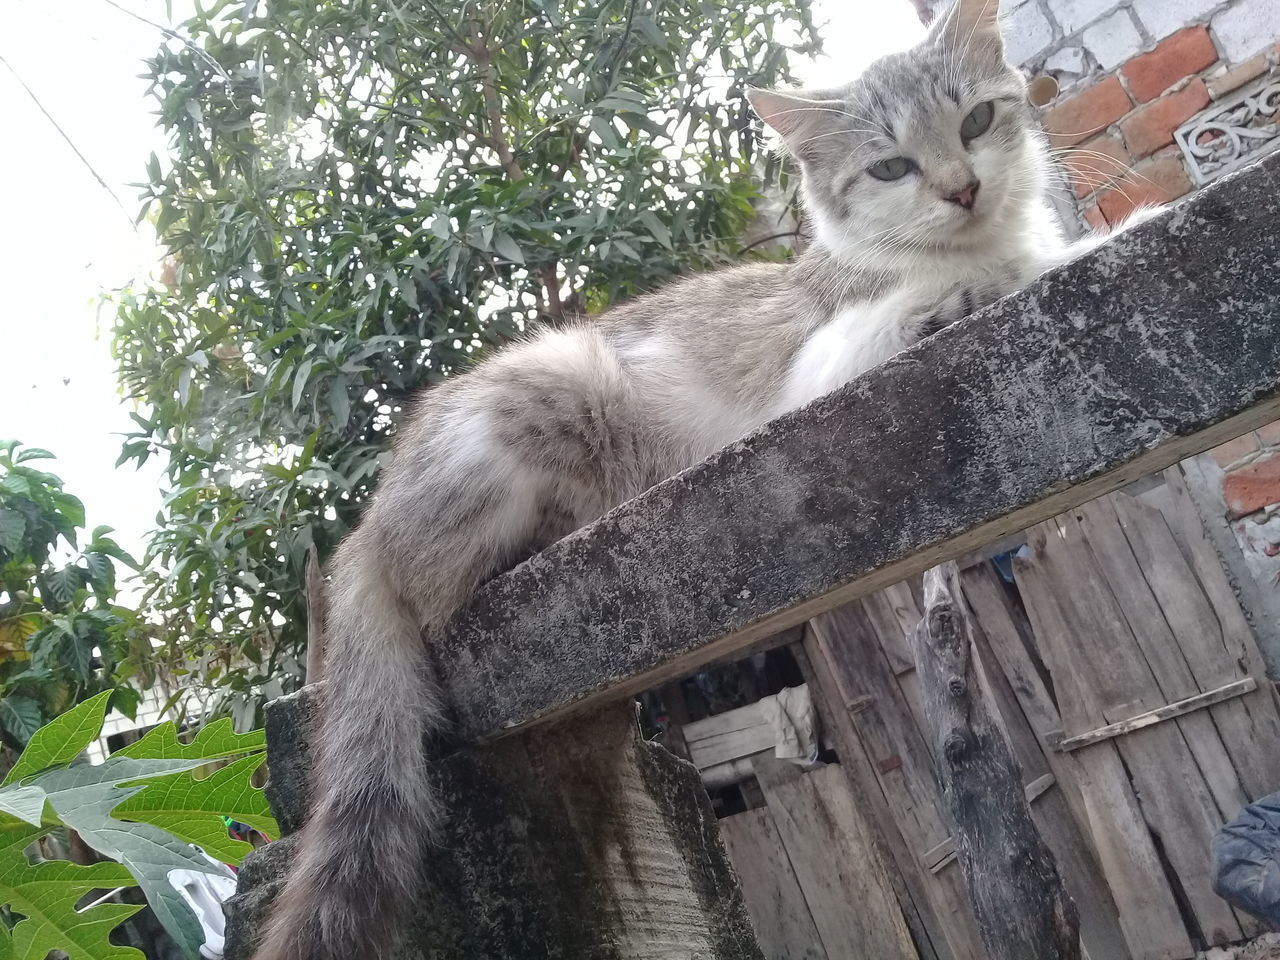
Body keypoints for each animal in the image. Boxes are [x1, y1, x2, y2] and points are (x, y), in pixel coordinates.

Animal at [252, 1, 1152, 960]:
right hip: (555, 381)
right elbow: (980, 289)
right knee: (441, 589)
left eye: (977, 121)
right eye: (891, 166)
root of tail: (363, 530)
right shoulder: (818, 368)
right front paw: (1081, 247)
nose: (961, 189)